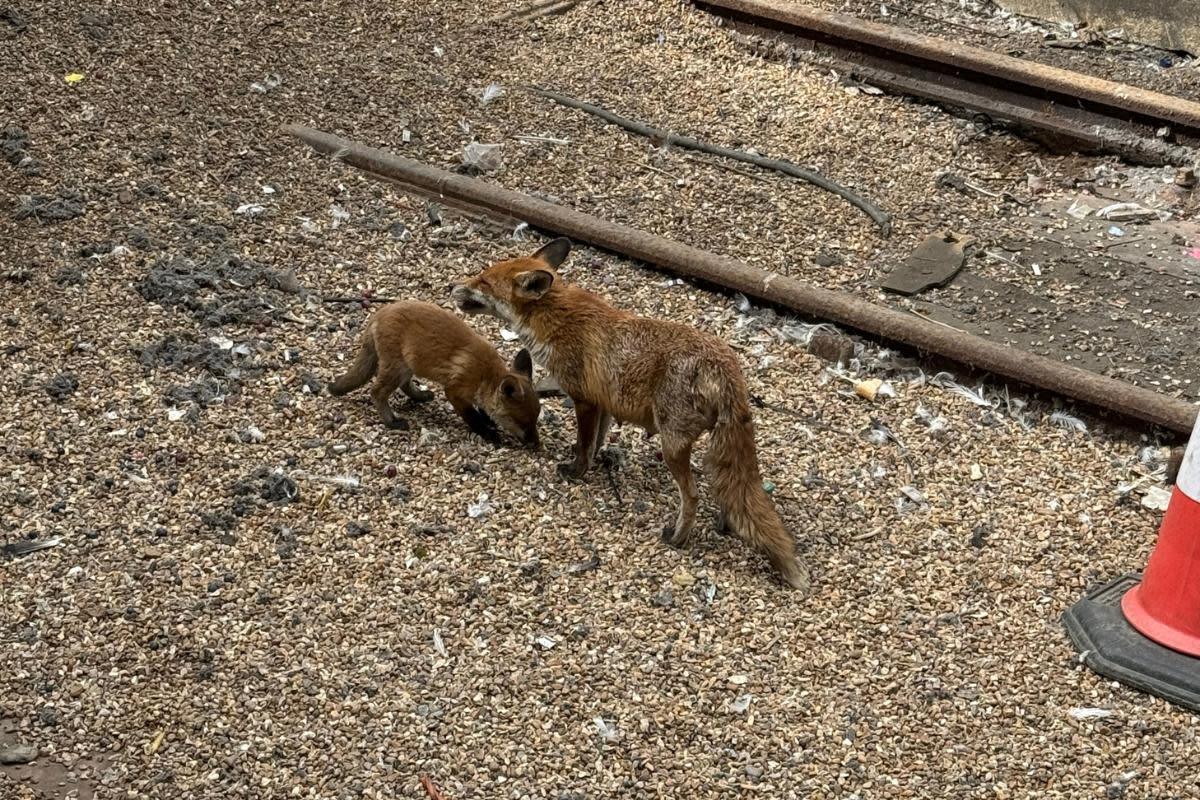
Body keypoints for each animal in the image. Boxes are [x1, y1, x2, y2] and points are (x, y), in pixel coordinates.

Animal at [324, 302, 540, 450]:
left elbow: (482, 410)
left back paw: (420, 396)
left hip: (407, 366)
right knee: (377, 392)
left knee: (404, 385)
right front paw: (488, 432)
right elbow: (472, 417)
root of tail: (380, 313)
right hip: (396, 368)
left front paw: (488, 421)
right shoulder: (454, 391)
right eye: (524, 423)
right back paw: (392, 421)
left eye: (535, 420)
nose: (537, 445)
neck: (484, 376)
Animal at [453, 237, 811, 587]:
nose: (452, 287)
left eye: (483, 281)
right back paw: (725, 525)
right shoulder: (604, 404)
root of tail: (726, 366)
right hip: (712, 447)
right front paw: (593, 465)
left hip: (672, 445)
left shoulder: (584, 400)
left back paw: (678, 538)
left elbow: (584, 446)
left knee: (694, 496)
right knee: (727, 489)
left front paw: (576, 472)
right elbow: (595, 442)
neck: (556, 319)